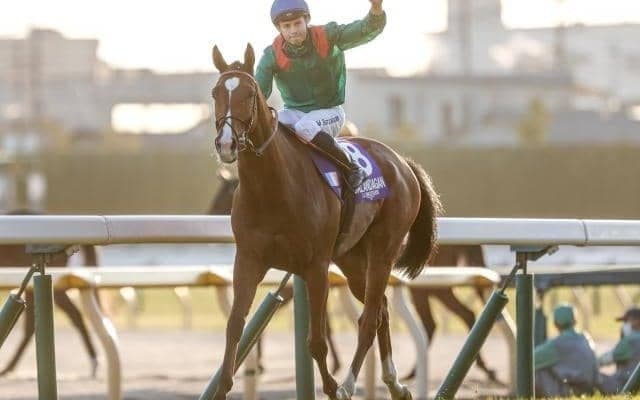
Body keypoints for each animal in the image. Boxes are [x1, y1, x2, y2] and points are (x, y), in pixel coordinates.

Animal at [209, 44, 441, 400]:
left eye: (249, 93)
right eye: (215, 93)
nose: (226, 143)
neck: (272, 188)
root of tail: (403, 162)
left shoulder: (315, 266)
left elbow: (317, 341)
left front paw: (332, 387)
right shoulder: (248, 259)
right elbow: (235, 324)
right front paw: (222, 388)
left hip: (382, 251)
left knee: (369, 319)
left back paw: (348, 384)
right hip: (351, 259)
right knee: (382, 309)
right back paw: (394, 383)